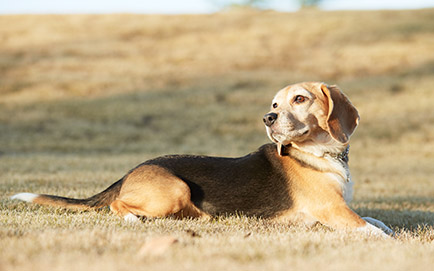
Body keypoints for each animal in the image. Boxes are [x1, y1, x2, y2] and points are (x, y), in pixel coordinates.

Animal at [11, 82, 392, 237]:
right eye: (274, 104)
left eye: (299, 99)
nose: (267, 119)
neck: (319, 154)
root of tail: (131, 171)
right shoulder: (334, 212)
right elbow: (373, 230)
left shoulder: (341, 210)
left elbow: (376, 220)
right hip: (174, 189)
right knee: (117, 205)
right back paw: (134, 219)